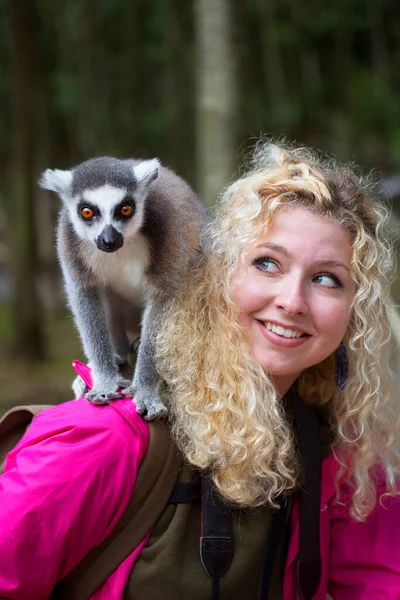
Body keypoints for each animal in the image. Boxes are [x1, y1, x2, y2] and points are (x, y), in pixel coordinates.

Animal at [39, 157, 211, 420]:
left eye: (125, 209)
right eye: (87, 212)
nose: (109, 240)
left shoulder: (167, 230)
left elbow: (163, 297)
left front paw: (144, 390)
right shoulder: (69, 238)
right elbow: (85, 294)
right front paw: (104, 380)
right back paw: (118, 355)